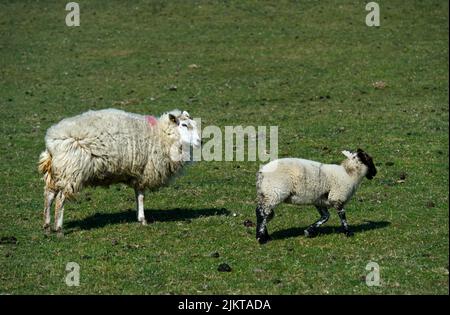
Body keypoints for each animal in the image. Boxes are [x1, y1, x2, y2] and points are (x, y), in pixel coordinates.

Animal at [37, 107, 200, 236]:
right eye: (184, 125)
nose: (200, 141)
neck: (162, 135)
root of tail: (50, 141)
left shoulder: (138, 172)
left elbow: (138, 195)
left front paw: (140, 218)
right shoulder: (144, 171)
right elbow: (141, 196)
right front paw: (143, 219)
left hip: (57, 171)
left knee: (49, 195)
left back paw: (46, 227)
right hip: (71, 171)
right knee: (60, 200)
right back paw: (58, 229)